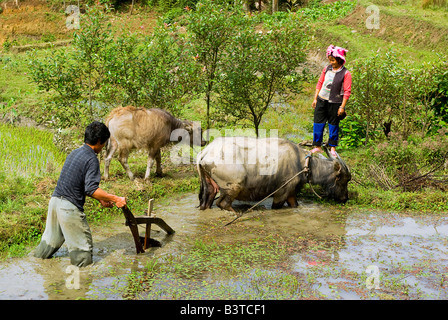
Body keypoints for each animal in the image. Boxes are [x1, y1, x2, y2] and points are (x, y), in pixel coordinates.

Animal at [198, 136, 352, 211]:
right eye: (344, 180)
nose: (345, 198)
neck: (302, 163)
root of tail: (205, 152)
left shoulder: (291, 192)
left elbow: (295, 205)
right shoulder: (282, 192)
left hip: (210, 187)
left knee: (208, 201)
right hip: (234, 186)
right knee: (222, 203)